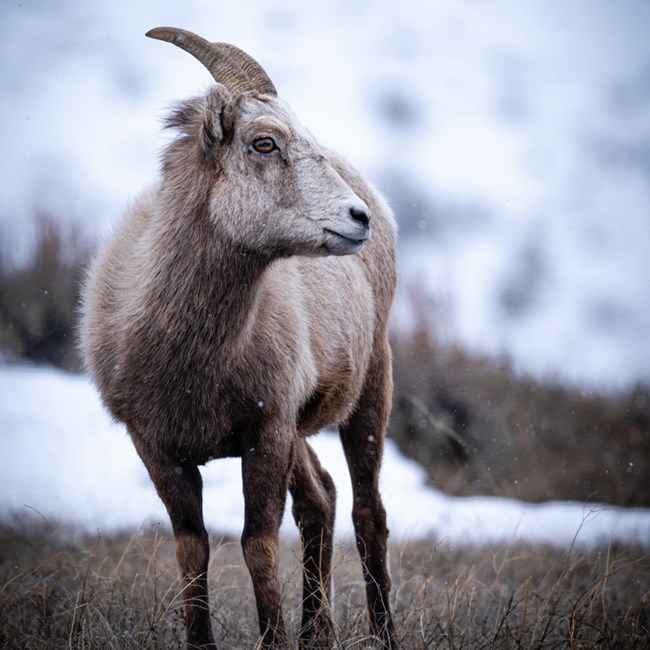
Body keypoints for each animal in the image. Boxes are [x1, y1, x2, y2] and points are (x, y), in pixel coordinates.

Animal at [79, 27, 397, 649]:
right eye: (264, 143)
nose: (358, 218)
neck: (188, 364)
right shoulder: (158, 449)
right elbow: (191, 551)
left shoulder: (264, 433)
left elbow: (259, 549)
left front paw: (273, 639)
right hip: (302, 427)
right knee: (321, 500)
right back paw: (316, 634)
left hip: (369, 389)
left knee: (366, 513)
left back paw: (381, 636)